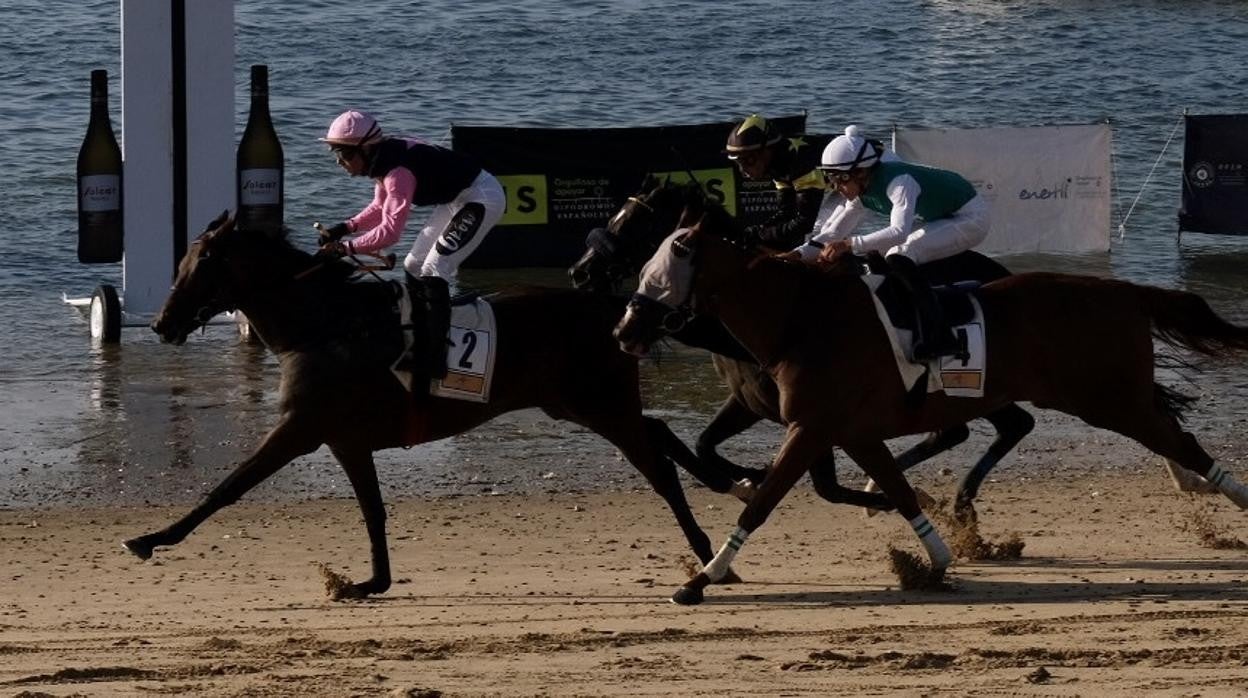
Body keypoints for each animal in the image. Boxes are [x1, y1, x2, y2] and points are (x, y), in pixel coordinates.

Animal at [121, 212, 728, 594]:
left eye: (202, 262)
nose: (161, 323)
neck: (324, 325)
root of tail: (612, 308)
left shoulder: (300, 429)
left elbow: (227, 487)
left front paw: (149, 539)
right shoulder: (345, 440)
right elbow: (372, 510)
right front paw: (369, 582)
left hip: (602, 407)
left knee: (660, 470)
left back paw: (708, 555)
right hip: (581, 405)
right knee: (660, 432)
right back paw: (731, 484)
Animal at [569, 177, 1033, 516]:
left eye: (634, 224)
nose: (579, 271)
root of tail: (1000, 270)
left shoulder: (813, 413)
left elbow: (827, 486)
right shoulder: (751, 401)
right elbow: (706, 444)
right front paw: (750, 477)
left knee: (1007, 424)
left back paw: (955, 500)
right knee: (989, 426)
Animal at [619, 204, 1248, 604]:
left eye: (670, 261)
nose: (624, 329)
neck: (803, 319)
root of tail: (1125, 291)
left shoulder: (811, 427)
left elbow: (765, 502)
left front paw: (699, 581)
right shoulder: (849, 430)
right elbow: (894, 489)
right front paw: (935, 556)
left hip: (1109, 398)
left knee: (1181, 441)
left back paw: (1232, 495)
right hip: (1101, 396)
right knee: (1161, 435)